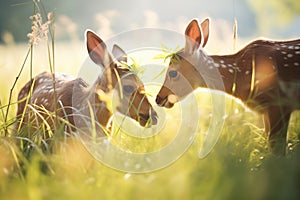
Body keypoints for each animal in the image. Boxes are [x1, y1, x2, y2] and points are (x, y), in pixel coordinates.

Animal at [156, 18, 298, 156]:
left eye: (172, 73)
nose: (158, 98)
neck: (243, 74)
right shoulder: (268, 110)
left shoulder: (278, 103)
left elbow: (277, 149)